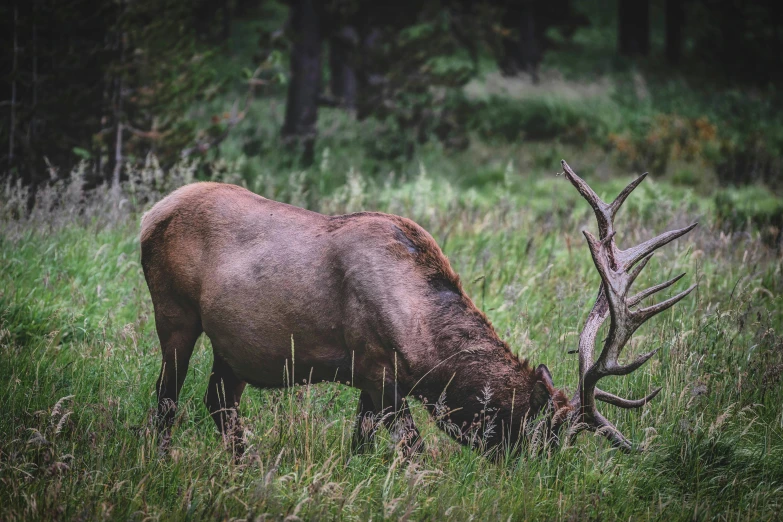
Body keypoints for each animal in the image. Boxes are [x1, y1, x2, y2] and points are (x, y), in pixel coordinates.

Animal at [142, 158, 700, 456]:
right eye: (550, 437)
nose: (541, 476)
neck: (429, 350)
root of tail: (150, 214)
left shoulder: (370, 384)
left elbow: (360, 446)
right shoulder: (379, 371)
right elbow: (414, 451)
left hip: (233, 348)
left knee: (219, 403)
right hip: (175, 316)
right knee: (167, 401)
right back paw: (165, 460)